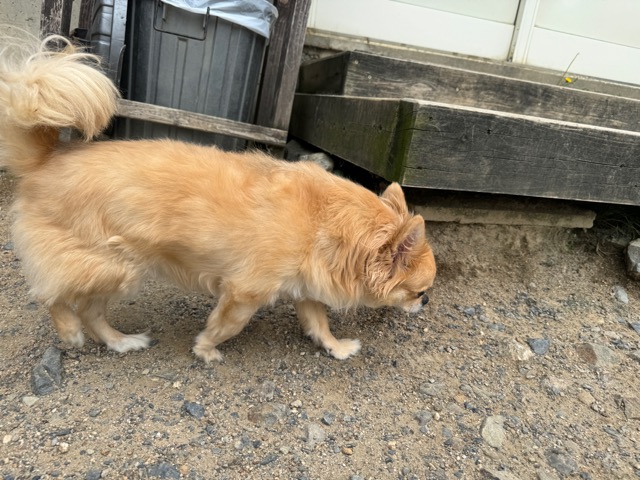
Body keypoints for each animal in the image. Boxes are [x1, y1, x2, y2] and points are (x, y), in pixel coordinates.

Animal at [0, 35, 436, 362]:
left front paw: (336, 347)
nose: (427, 303)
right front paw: (206, 348)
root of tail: (47, 159)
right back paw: (70, 332)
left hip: (117, 270)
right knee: (52, 296)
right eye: (418, 291)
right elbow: (228, 325)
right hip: (112, 267)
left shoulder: (305, 288)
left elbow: (319, 322)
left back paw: (121, 342)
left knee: (89, 310)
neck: (325, 223)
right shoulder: (245, 291)